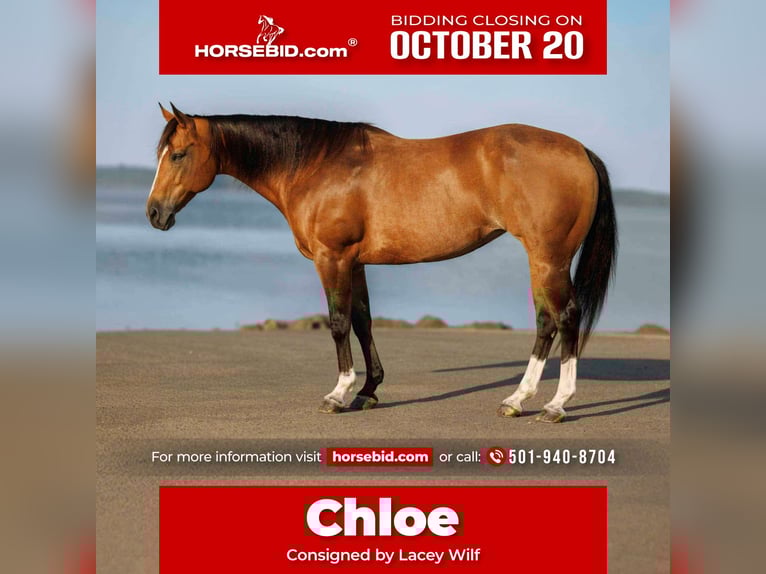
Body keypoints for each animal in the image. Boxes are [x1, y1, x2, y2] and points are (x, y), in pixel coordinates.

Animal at [146, 103, 617, 423]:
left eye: (178, 154)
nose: (154, 213)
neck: (316, 165)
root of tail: (579, 151)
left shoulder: (331, 258)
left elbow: (338, 323)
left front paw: (338, 394)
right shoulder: (355, 263)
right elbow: (362, 321)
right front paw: (368, 391)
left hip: (548, 258)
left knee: (564, 317)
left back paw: (554, 404)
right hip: (543, 261)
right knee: (546, 321)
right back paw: (518, 400)